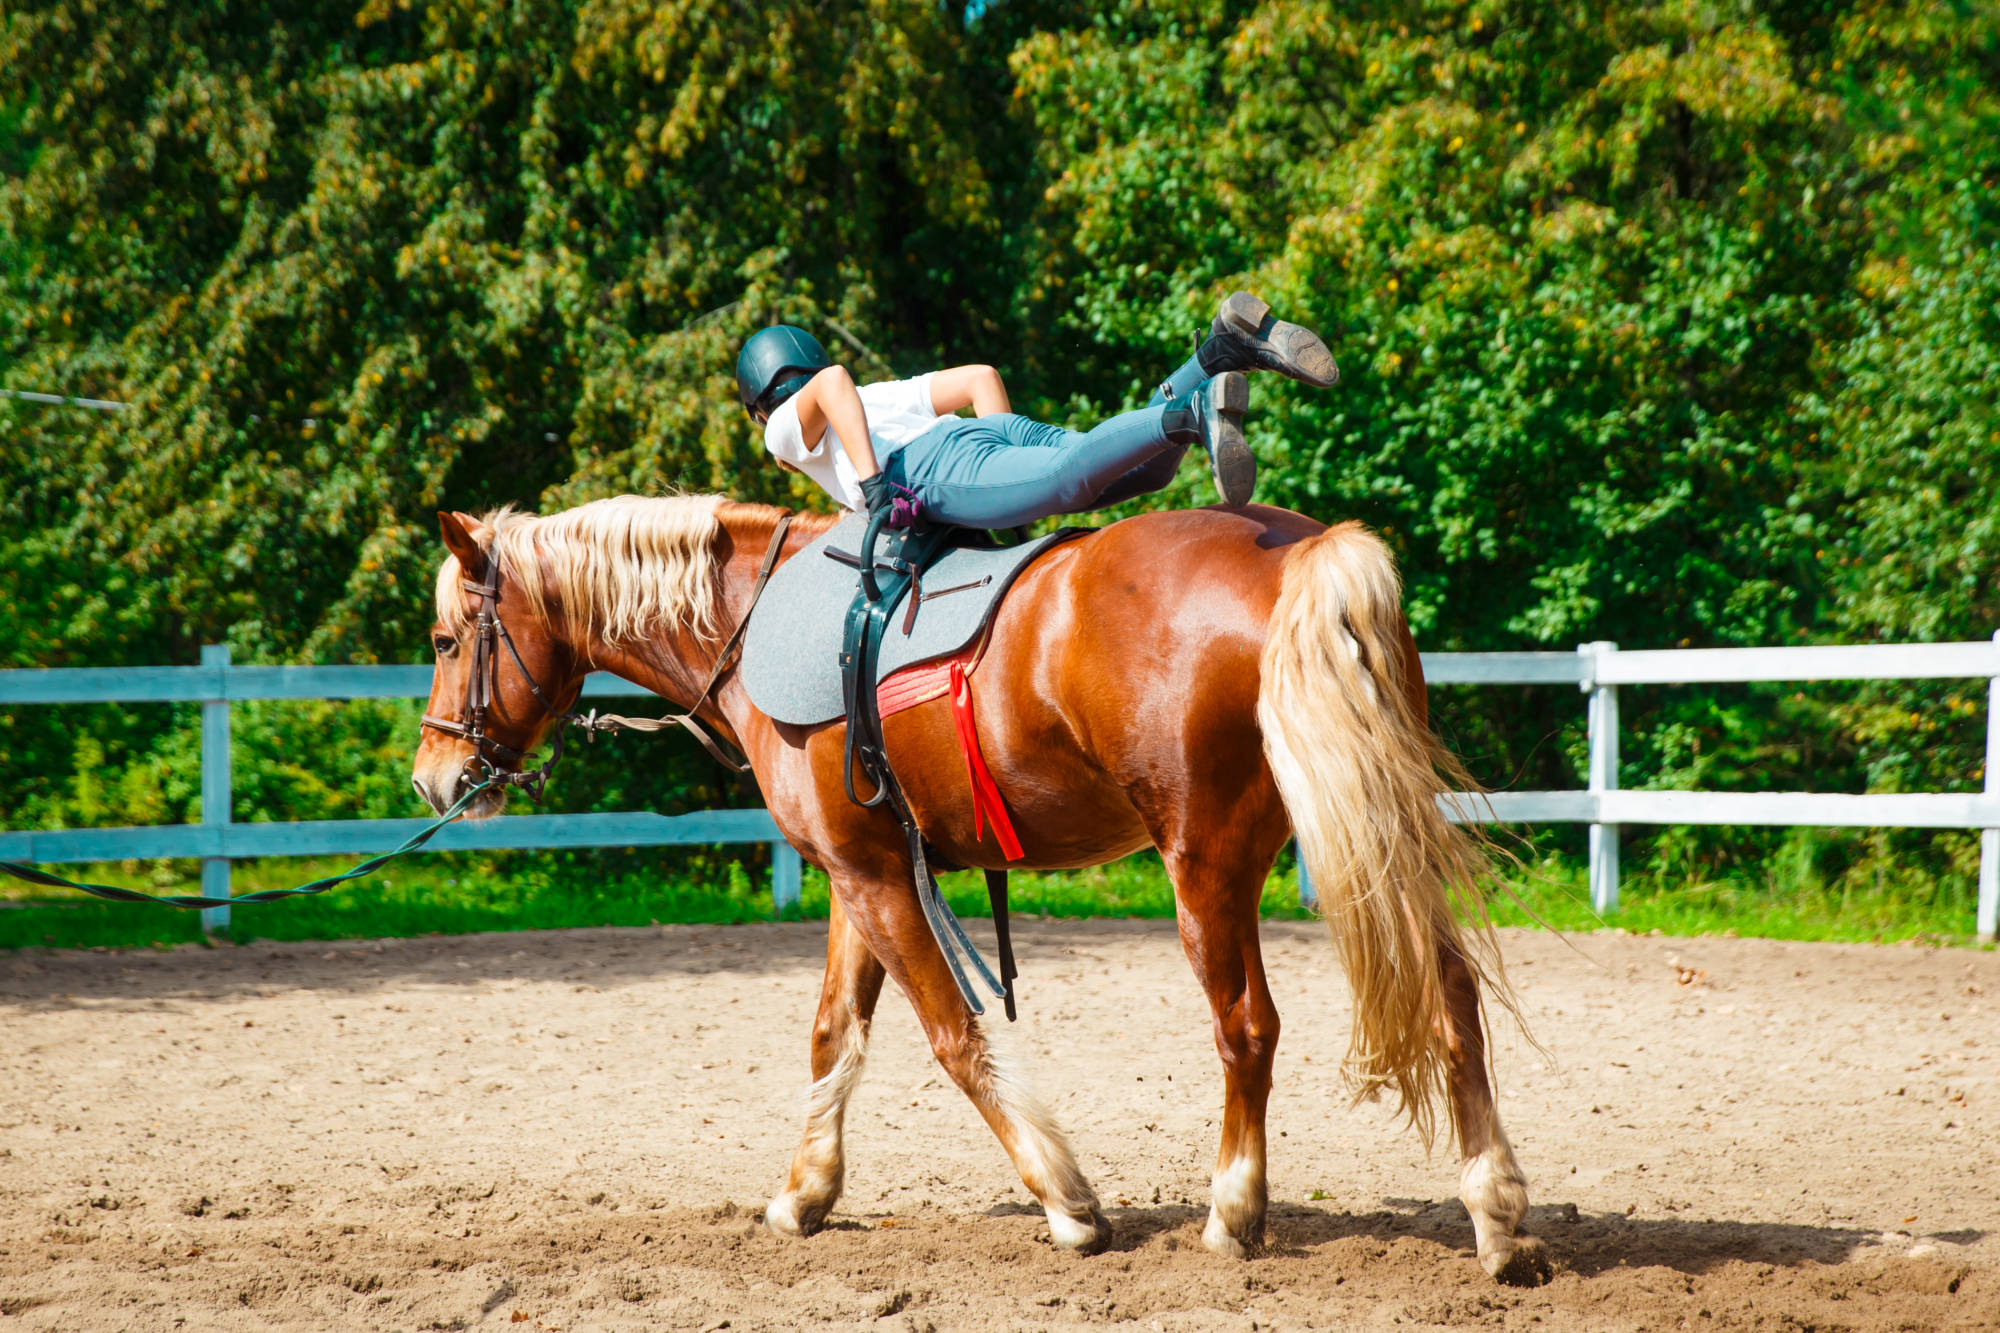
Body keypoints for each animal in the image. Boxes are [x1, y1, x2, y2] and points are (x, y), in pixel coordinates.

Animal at [410, 492, 1544, 1280]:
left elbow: (954, 1038)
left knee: (1246, 1027)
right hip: (1377, 838)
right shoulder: (854, 878)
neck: (755, 620)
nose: (431, 777)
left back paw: (1232, 1210)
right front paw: (804, 1193)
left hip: (1208, 868)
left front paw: (1066, 1200)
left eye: (445, 639)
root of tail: (1304, 552)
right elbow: (834, 1032)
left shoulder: (875, 880)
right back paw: (1494, 1211)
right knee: (1451, 999)